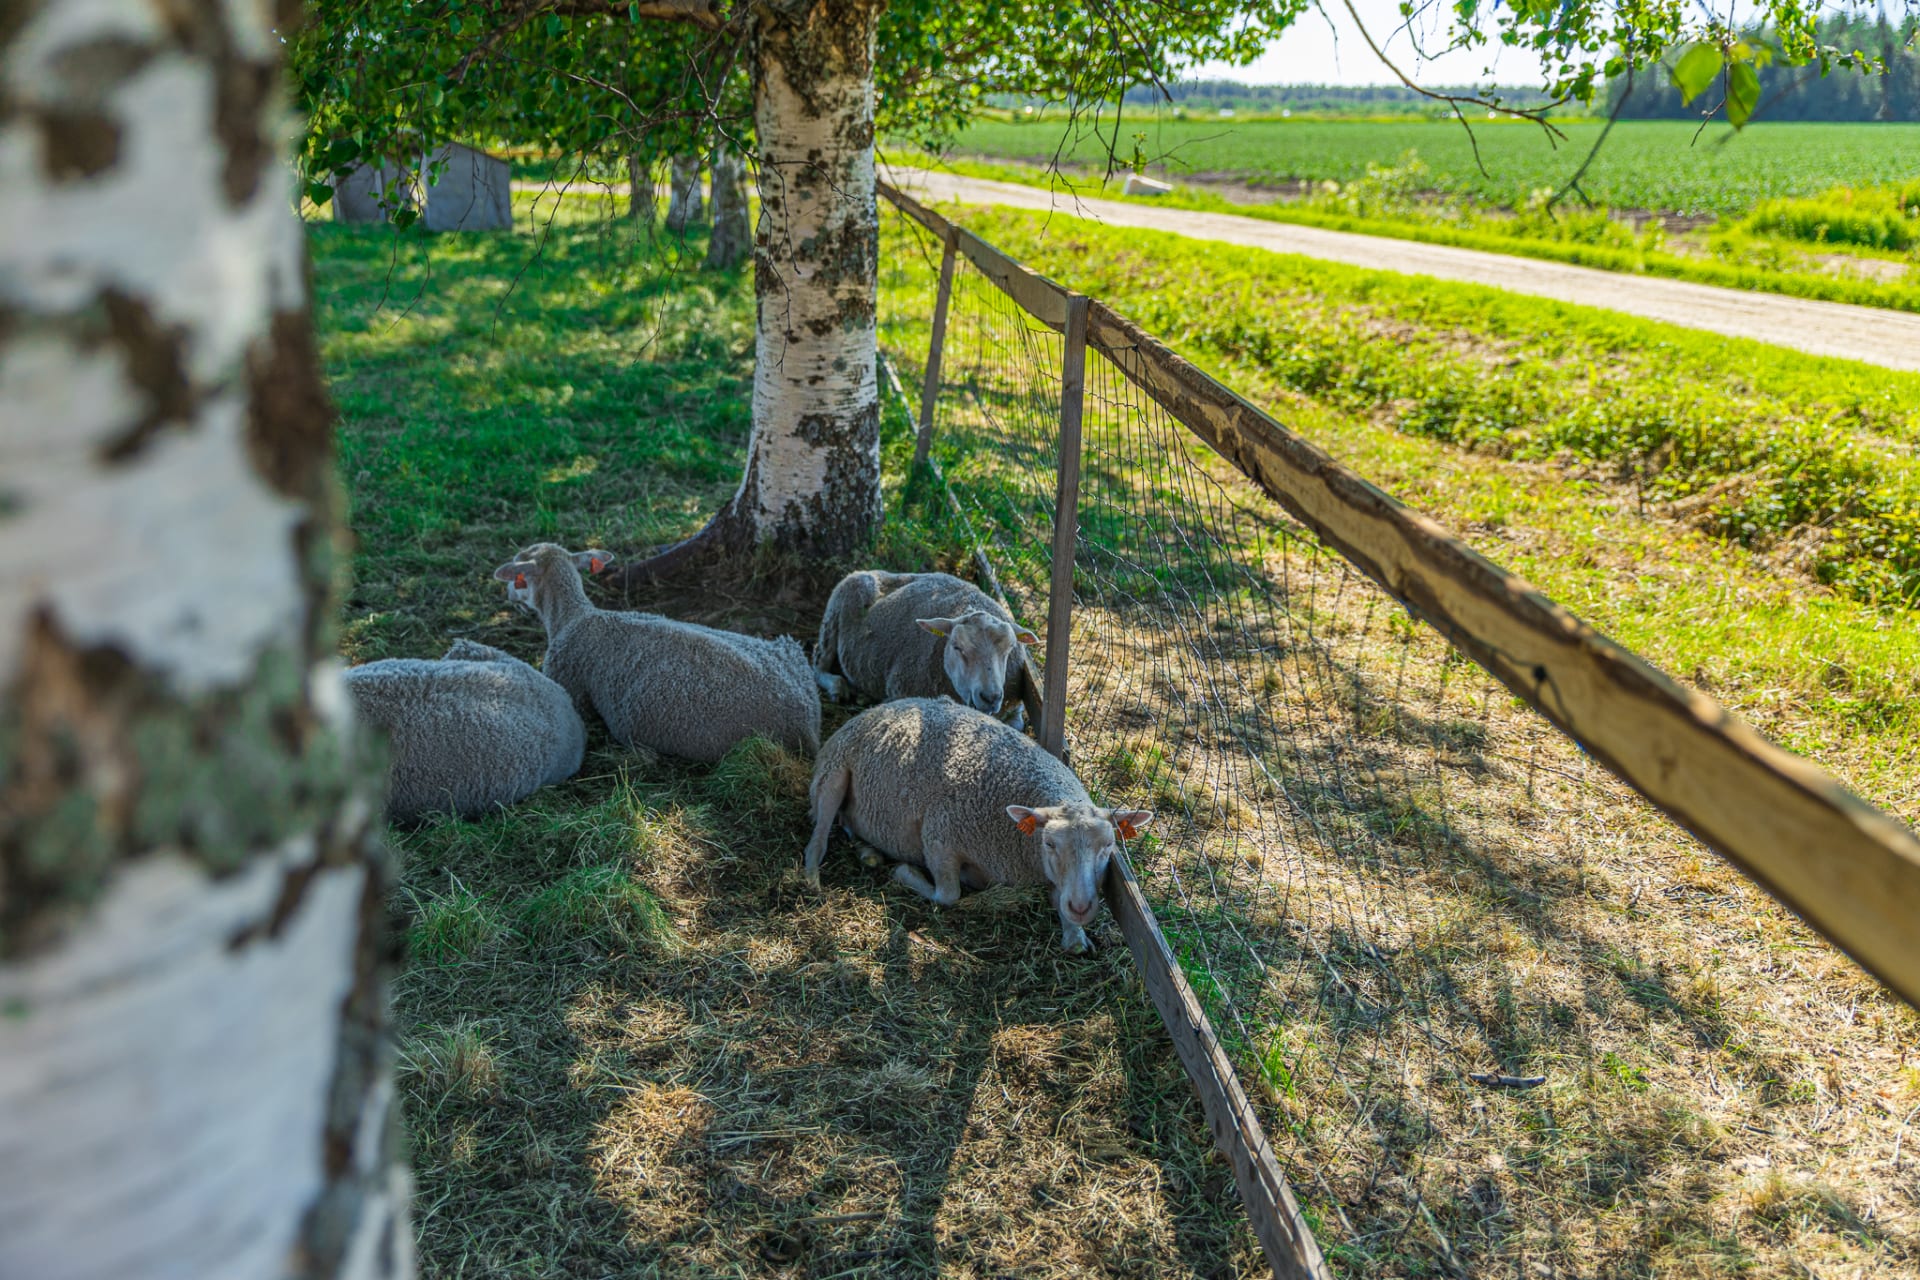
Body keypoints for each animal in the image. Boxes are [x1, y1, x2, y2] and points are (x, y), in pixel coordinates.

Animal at [798, 702, 1144, 951]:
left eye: (1109, 846)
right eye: (1049, 844)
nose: (1082, 907)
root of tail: (880, 707)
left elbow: (1068, 926)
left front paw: (1075, 934)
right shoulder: (938, 836)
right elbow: (948, 895)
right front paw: (905, 873)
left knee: (845, 826)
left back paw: (868, 851)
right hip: (832, 774)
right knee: (818, 838)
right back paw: (813, 879)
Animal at [817, 571, 1044, 721]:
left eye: (1009, 649)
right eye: (957, 647)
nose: (990, 697)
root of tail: (867, 571)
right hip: (832, 617)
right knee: (817, 666)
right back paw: (837, 687)